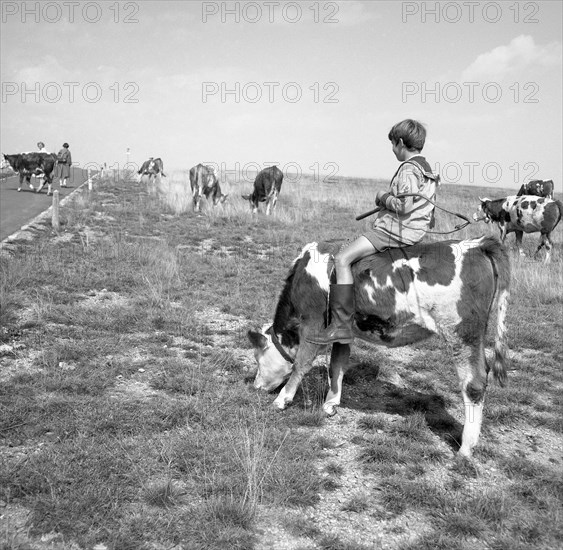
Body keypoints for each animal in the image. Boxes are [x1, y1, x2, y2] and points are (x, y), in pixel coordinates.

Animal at [247, 239, 512, 460]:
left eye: (258, 358)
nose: (256, 387)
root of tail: (478, 245)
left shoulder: (313, 324)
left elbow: (301, 364)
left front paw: (282, 400)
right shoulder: (343, 331)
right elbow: (337, 365)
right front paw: (331, 403)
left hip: (462, 334)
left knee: (473, 384)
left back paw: (466, 448)